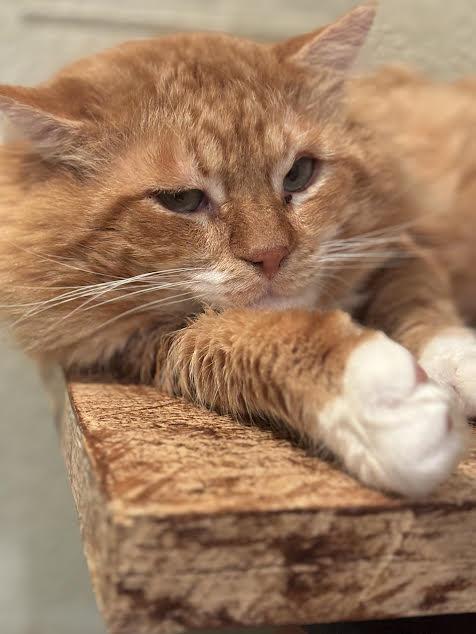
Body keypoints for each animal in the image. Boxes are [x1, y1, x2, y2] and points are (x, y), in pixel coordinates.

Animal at [0, 2, 476, 496]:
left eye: (299, 174)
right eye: (181, 200)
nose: (271, 255)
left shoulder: (395, 242)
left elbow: (418, 302)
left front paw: (458, 362)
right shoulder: (136, 343)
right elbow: (234, 339)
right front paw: (376, 400)